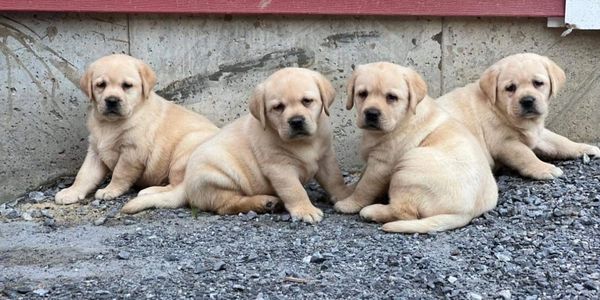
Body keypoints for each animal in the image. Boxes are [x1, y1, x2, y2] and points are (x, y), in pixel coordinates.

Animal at [55, 53, 219, 204]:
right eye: (101, 85)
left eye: (127, 85)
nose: (112, 100)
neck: (110, 124)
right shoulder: (95, 151)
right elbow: (84, 174)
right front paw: (71, 192)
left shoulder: (133, 152)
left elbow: (119, 173)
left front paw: (110, 190)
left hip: (184, 150)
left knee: (179, 186)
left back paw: (149, 191)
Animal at [332, 62, 496, 233]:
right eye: (362, 94)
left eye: (391, 97)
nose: (371, 113)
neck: (402, 119)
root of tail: (466, 212)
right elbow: (360, 180)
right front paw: (346, 192)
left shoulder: (381, 165)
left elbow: (365, 186)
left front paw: (349, 203)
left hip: (408, 166)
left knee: (405, 213)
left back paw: (372, 212)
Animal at [436, 53, 600, 180]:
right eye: (510, 88)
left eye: (538, 83)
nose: (527, 100)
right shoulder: (504, 143)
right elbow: (526, 155)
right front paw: (544, 168)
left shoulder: (537, 134)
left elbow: (560, 141)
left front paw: (584, 147)